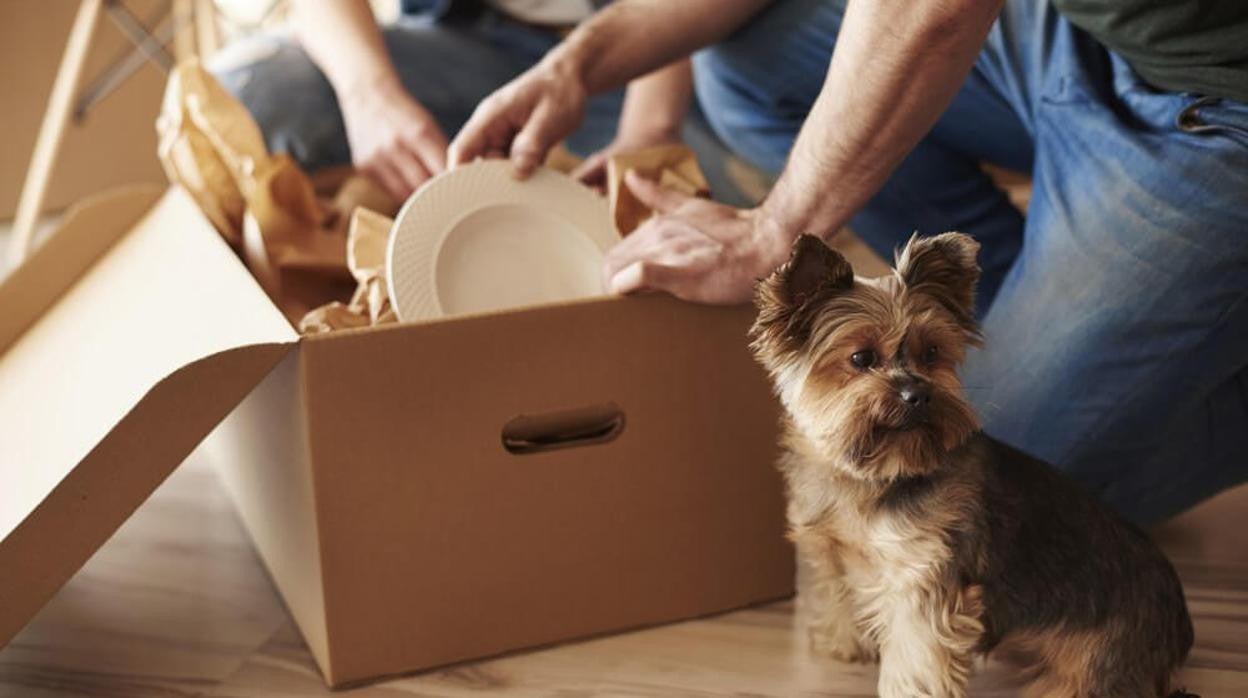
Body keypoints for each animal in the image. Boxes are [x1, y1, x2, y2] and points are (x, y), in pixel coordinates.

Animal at [743, 234, 1193, 698]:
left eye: (932, 353)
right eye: (862, 358)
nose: (918, 395)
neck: (875, 474)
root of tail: (1179, 623)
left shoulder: (923, 576)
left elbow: (915, 657)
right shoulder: (835, 550)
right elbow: (838, 592)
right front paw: (844, 643)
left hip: (1094, 662)